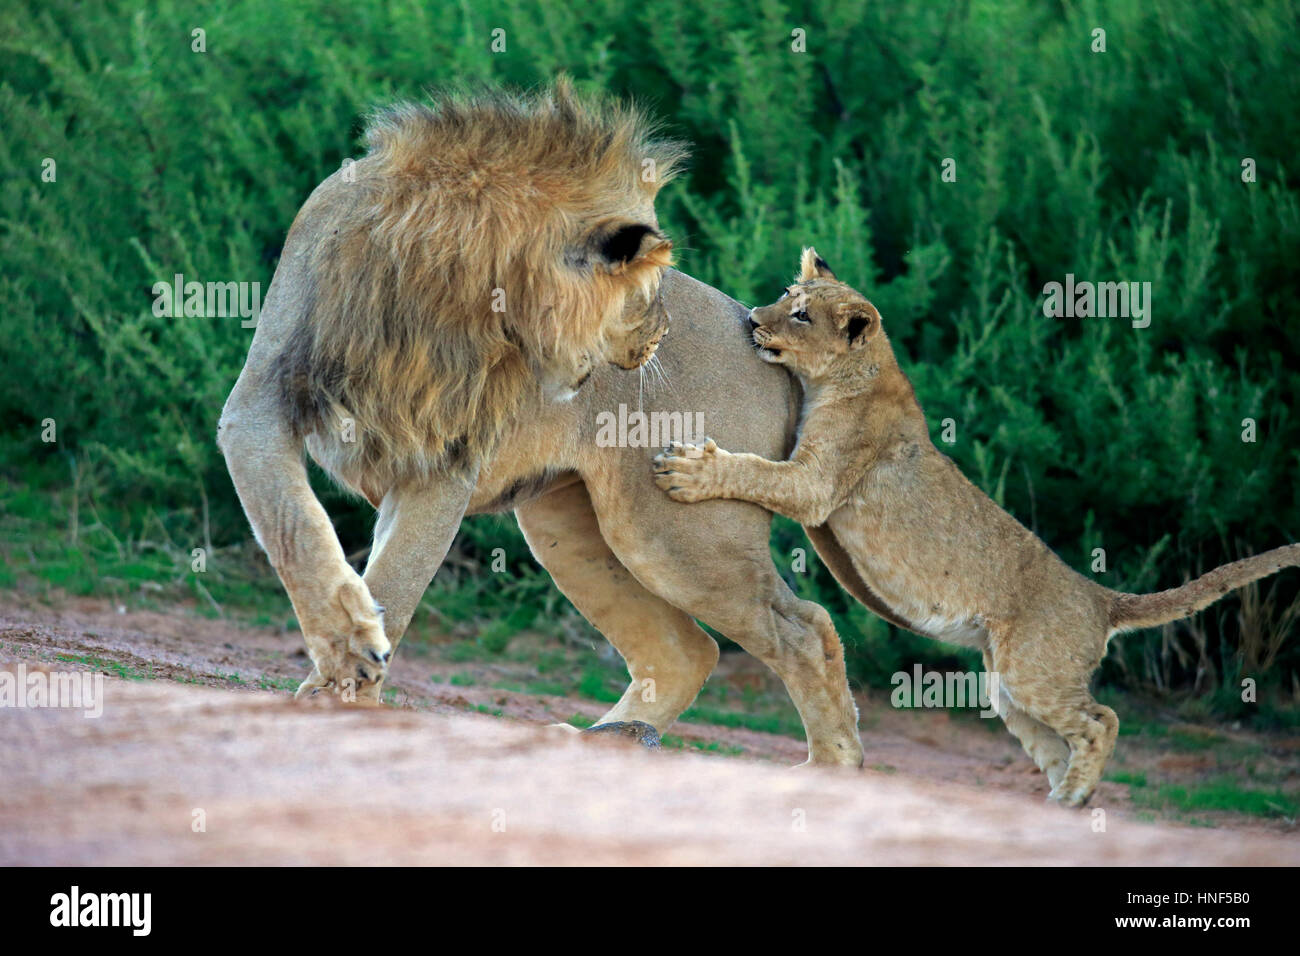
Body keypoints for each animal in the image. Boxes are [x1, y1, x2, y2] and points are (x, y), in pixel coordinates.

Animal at [220, 85, 873, 764]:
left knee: (805, 628)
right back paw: (605, 738)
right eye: (648, 283)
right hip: (573, 528)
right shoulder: (258, 408)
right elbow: (292, 523)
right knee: (687, 649)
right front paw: (347, 656)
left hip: (676, 531)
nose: (663, 331)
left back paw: (828, 767)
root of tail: (771, 344)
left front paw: (349, 683)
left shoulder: (444, 461)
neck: (451, 290)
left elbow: (396, 583)